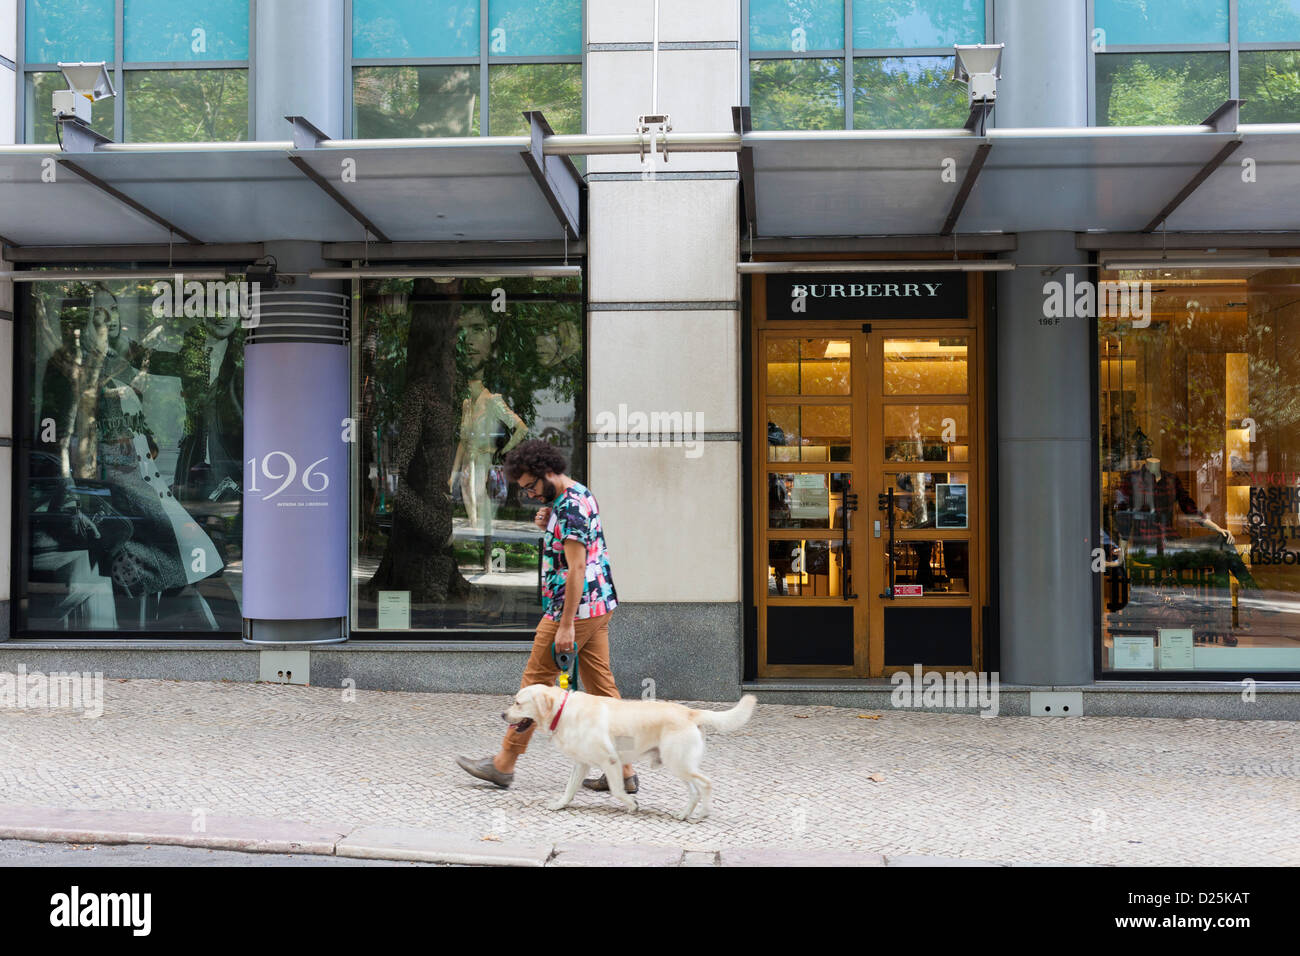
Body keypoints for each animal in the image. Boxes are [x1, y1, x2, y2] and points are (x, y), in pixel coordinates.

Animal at [501, 686, 759, 816]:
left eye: (518, 703)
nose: (502, 714)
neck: (563, 711)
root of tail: (690, 712)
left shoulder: (610, 761)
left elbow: (617, 790)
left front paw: (632, 804)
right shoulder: (581, 764)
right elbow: (569, 788)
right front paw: (559, 804)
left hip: (679, 764)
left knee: (706, 783)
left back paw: (704, 813)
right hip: (679, 765)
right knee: (694, 791)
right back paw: (683, 814)